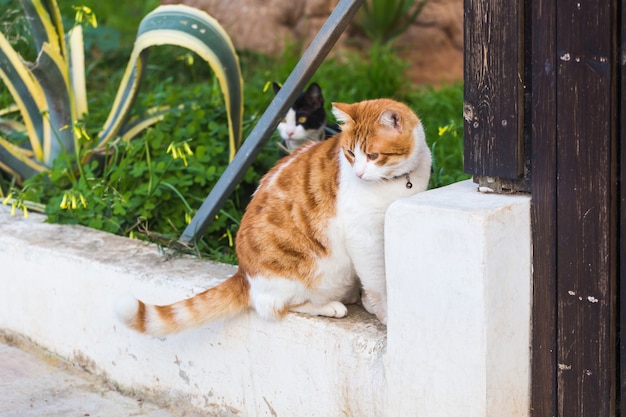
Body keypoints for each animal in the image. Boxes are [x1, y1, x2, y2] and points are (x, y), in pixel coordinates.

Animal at [118, 98, 428, 334]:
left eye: (373, 155)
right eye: (351, 153)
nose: (360, 173)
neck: (398, 181)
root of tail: (243, 274)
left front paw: (370, 303)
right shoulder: (363, 236)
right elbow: (377, 280)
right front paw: (384, 313)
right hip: (311, 271)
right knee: (277, 306)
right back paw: (330, 305)